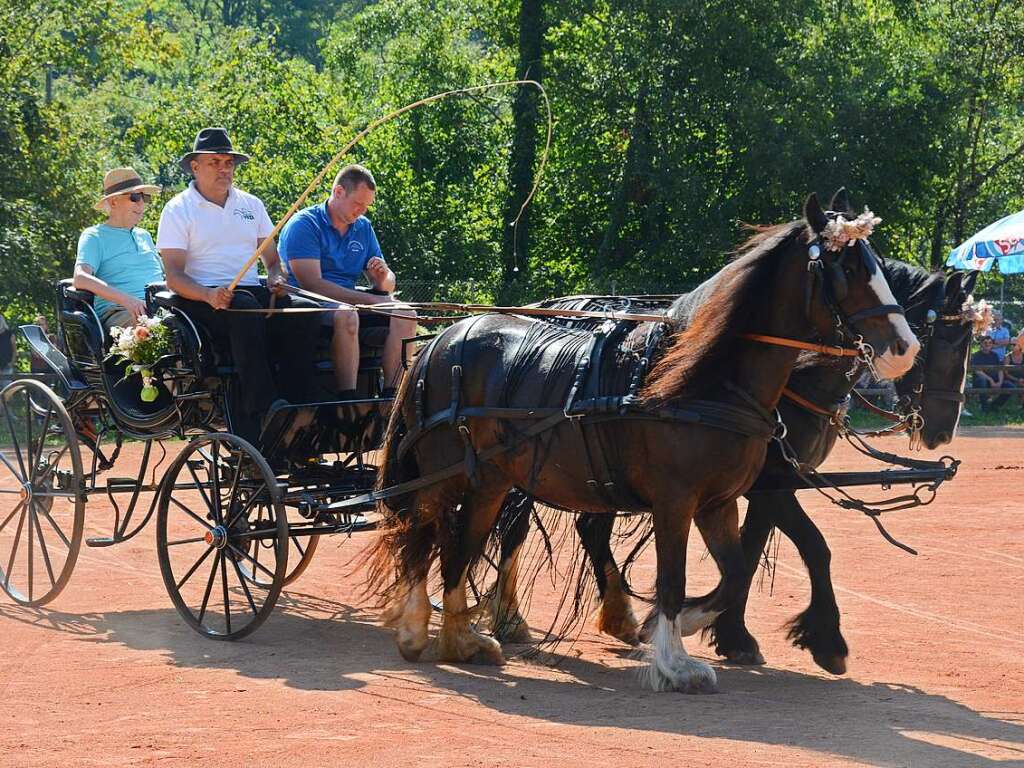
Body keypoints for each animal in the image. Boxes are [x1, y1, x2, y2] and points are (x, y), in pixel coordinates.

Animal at [366, 195, 913, 696]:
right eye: (848, 267)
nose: (905, 348)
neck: (704, 380)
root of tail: (444, 339)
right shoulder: (679, 500)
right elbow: (674, 578)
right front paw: (675, 662)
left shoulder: (719, 501)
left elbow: (736, 572)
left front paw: (688, 627)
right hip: (444, 474)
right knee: (422, 534)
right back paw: (417, 629)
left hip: (492, 480)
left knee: (461, 546)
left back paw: (464, 638)